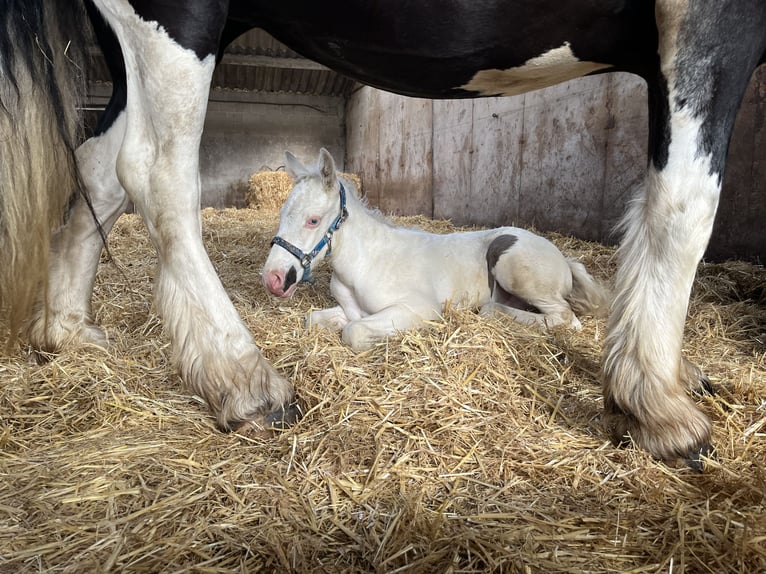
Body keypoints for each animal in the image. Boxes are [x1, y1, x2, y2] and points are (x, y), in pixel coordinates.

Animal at [264, 148, 612, 354]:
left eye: (313, 219)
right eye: (281, 212)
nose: (273, 279)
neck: (367, 262)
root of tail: (563, 258)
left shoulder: (417, 308)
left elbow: (354, 333)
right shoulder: (354, 310)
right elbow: (316, 319)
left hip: (514, 268)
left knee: (565, 319)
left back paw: (490, 311)